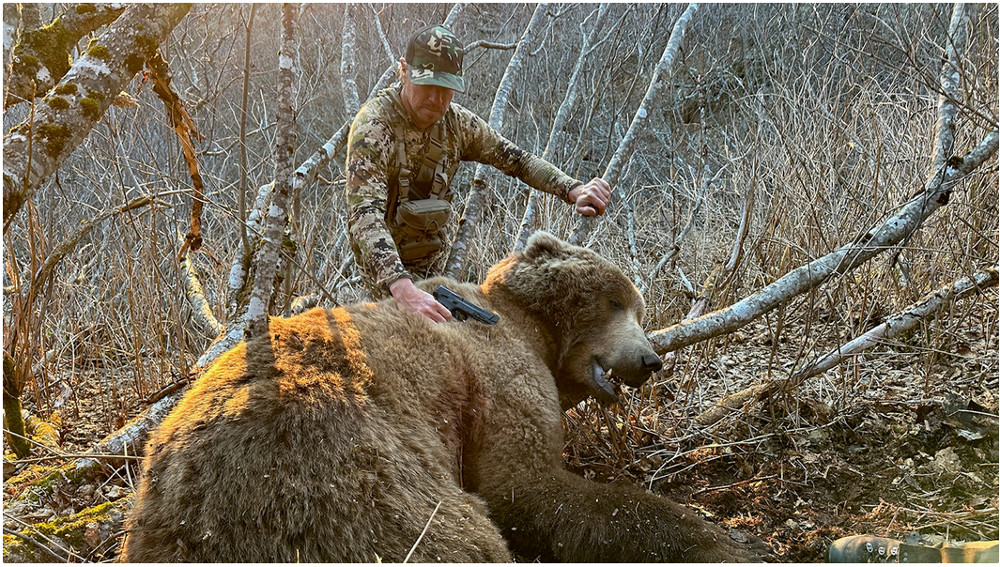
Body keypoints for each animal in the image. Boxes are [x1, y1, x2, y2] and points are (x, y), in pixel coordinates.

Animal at [121, 232, 760, 562]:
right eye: (614, 301)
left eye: (637, 305)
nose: (650, 359)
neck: (528, 328)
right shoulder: (499, 378)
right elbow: (524, 487)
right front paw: (718, 540)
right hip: (344, 475)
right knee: (444, 532)